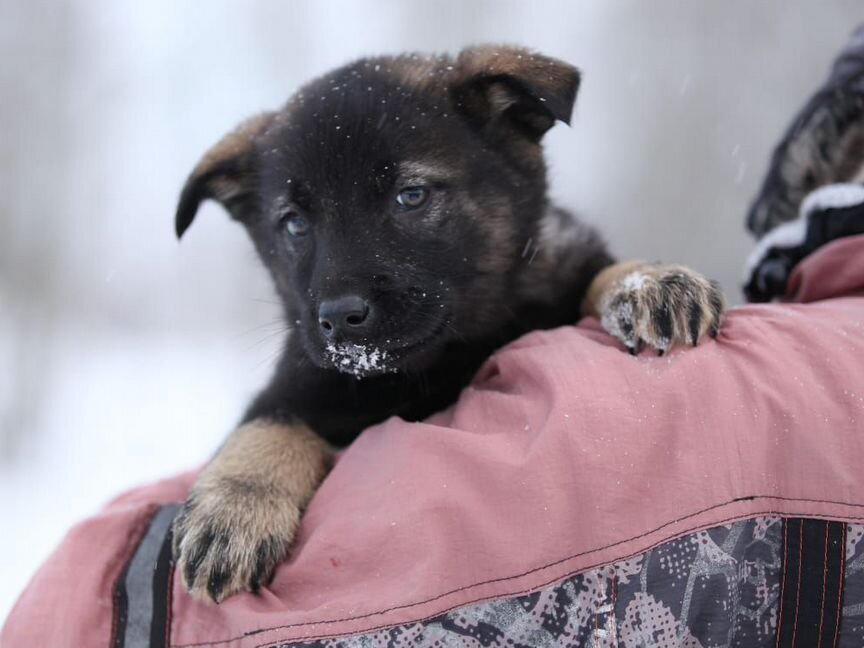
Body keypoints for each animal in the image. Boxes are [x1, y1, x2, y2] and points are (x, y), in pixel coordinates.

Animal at [170, 45, 724, 604]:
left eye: (410, 195)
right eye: (295, 224)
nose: (339, 317)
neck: (443, 359)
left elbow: (596, 272)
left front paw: (649, 283)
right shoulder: (303, 378)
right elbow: (271, 421)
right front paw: (236, 507)